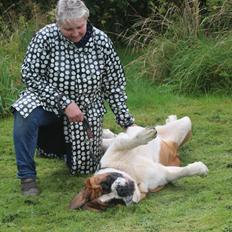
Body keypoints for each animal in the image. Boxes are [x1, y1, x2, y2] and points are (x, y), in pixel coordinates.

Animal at [69, 115, 208, 211]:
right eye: (114, 202)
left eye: (105, 184)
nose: (120, 190)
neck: (132, 174)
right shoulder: (163, 174)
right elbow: (179, 172)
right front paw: (199, 168)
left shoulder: (115, 149)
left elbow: (125, 142)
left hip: (183, 124)